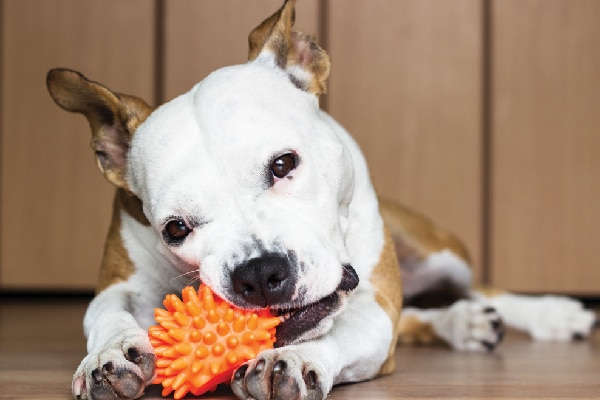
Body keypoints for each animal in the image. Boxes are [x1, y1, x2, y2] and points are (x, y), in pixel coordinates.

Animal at [47, 0, 596, 400]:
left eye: (283, 164)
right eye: (176, 229)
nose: (259, 273)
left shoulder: (374, 307)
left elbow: (343, 332)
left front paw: (293, 359)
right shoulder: (119, 280)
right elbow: (105, 312)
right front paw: (109, 355)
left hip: (441, 252)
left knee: (479, 288)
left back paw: (552, 314)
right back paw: (463, 323)